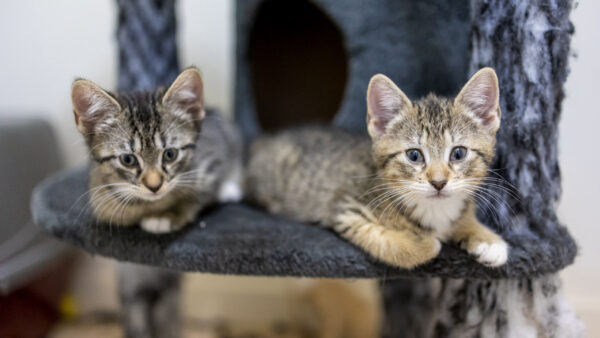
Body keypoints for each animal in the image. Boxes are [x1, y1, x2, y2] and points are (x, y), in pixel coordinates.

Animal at [68, 67, 241, 234]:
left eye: (170, 154)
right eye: (128, 160)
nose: (154, 186)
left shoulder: (214, 154)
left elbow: (201, 191)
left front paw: (168, 214)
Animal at [246, 68, 508, 270]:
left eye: (458, 153)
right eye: (414, 155)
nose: (438, 182)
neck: (435, 210)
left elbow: (464, 220)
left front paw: (487, 240)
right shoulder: (346, 210)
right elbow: (414, 246)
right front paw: (428, 241)